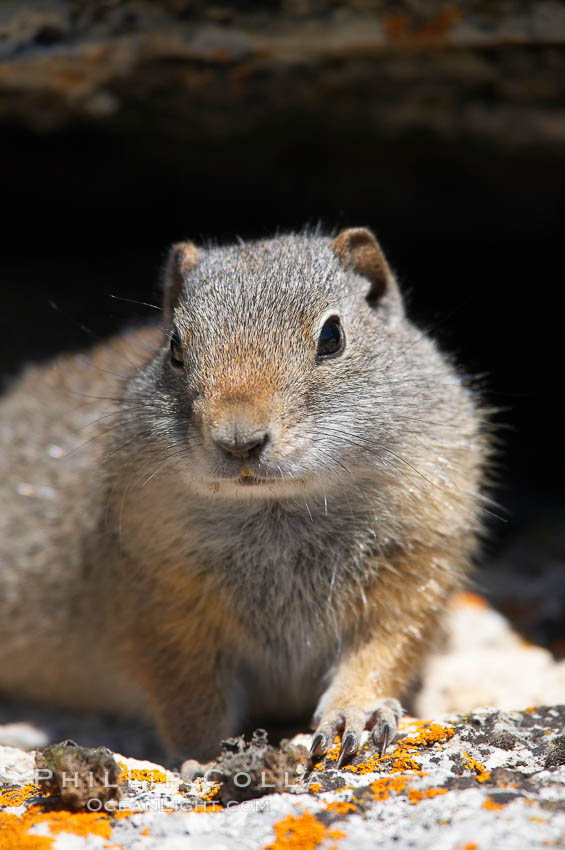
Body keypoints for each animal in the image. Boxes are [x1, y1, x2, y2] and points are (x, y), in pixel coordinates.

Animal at [0, 229, 484, 764]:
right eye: (174, 346)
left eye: (332, 337)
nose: (238, 442)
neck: (277, 508)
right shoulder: (159, 603)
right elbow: (188, 699)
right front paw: (203, 760)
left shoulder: (415, 570)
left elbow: (382, 651)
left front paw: (355, 714)